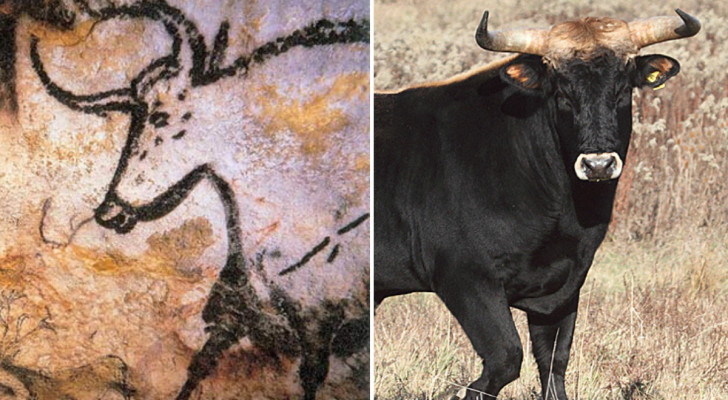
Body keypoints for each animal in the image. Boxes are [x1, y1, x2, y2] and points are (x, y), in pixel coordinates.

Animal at [376, 10, 700, 398]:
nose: (598, 164)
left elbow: (554, 365)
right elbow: (505, 358)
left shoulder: (563, 289)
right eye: (561, 92)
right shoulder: (466, 278)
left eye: (623, 89)